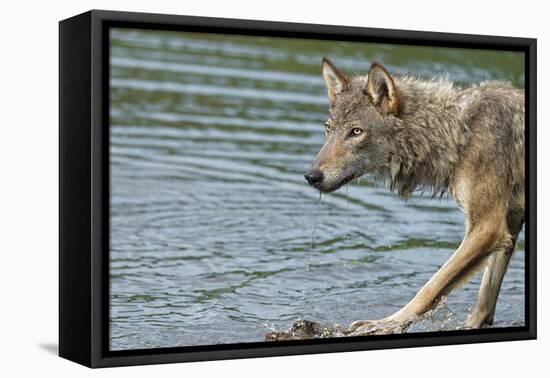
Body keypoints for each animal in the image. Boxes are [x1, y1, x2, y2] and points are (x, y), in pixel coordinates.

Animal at [306, 56, 528, 334]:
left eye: (356, 132)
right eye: (328, 128)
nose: (311, 175)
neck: (458, 134)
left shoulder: (488, 227)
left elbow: (430, 287)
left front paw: (385, 324)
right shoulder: (509, 222)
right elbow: (485, 298)